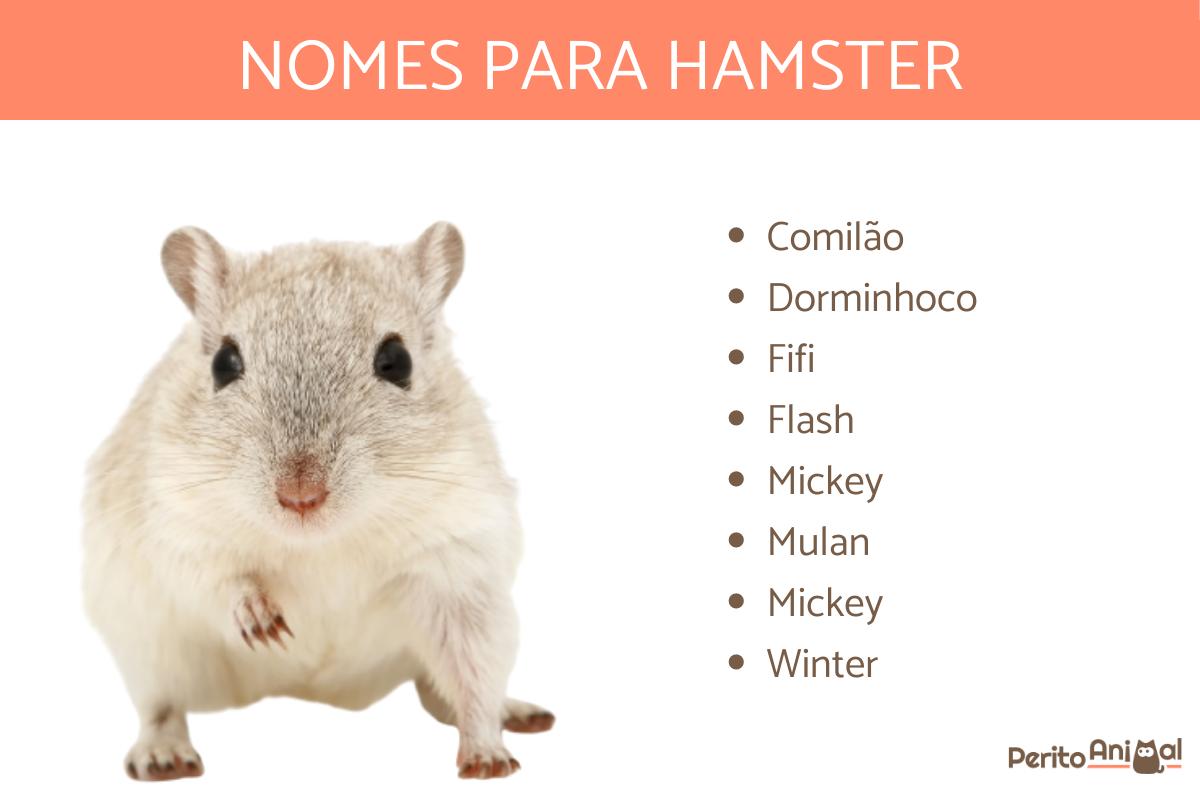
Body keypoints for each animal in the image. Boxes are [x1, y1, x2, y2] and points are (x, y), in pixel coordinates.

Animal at [82, 223, 553, 782]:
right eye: (223, 364)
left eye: (397, 361)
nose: (300, 496)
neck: (321, 542)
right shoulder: (175, 525)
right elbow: (215, 579)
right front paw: (262, 622)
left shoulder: (461, 563)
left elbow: (473, 674)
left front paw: (488, 760)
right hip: (148, 648)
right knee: (161, 707)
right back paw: (163, 757)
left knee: (446, 691)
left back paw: (518, 713)